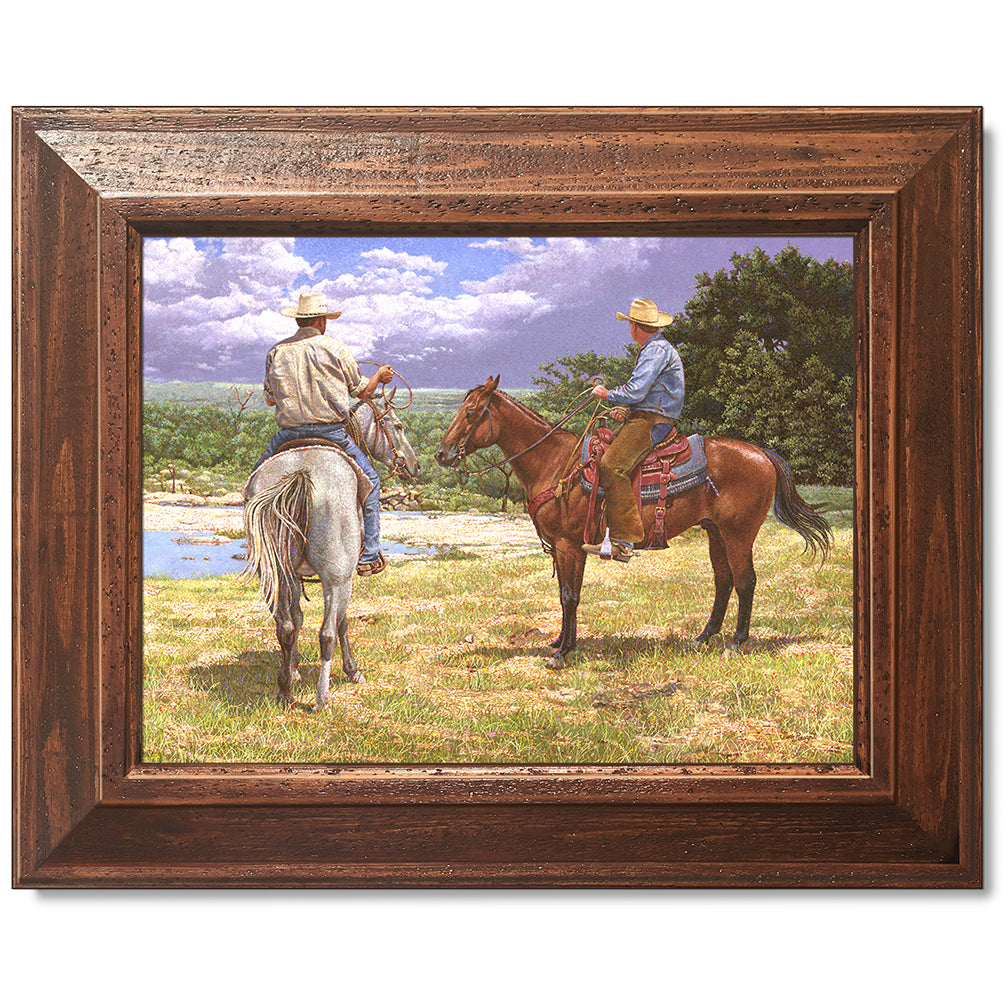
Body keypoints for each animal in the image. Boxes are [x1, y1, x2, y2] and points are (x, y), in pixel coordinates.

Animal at [243, 393, 417, 709]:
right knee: (327, 633)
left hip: (277, 573)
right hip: (338, 578)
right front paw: (352, 671)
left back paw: (285, 690)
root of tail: (301, 472)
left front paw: (293, 671)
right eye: (398, 425)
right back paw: (322, 698)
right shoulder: (343, 577)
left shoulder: (294, 577)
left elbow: (297, 619)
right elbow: (341, 624)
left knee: (285, 627)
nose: (414, 465)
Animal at [435, 374, 834, 665]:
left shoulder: (568, 545)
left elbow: (568, 596)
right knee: (723, 582)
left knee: (745, 581)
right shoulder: (567, 548)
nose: (441, 454)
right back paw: (703, 638)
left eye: (471, 413)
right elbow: (568, 593)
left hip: (739, 533)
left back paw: (736, 643)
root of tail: (763, 454)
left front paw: (562, 653)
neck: (555, 462)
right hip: (715, 532)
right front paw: (562, 642)